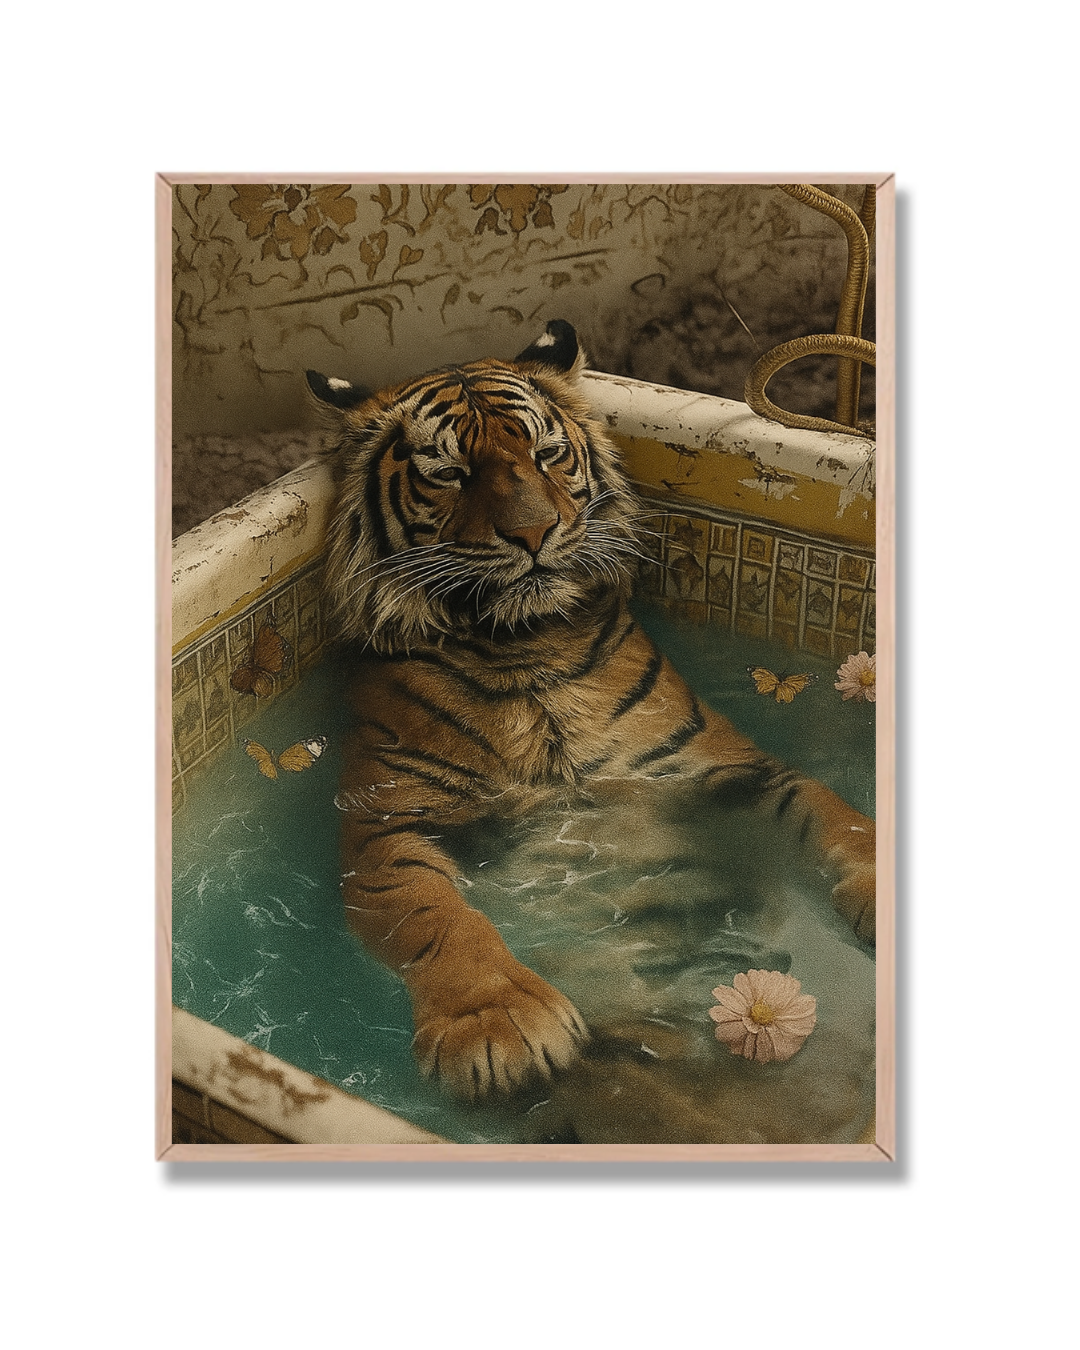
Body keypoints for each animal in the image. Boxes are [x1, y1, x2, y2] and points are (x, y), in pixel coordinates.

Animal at [307, 319, 876, 1102]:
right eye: (449, 473)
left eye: (547, 454)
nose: (533, 534)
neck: (524, 647)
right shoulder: (387, 823)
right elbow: (436, 915)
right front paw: (498, 1023)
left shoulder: (715, 768)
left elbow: (834, 815)